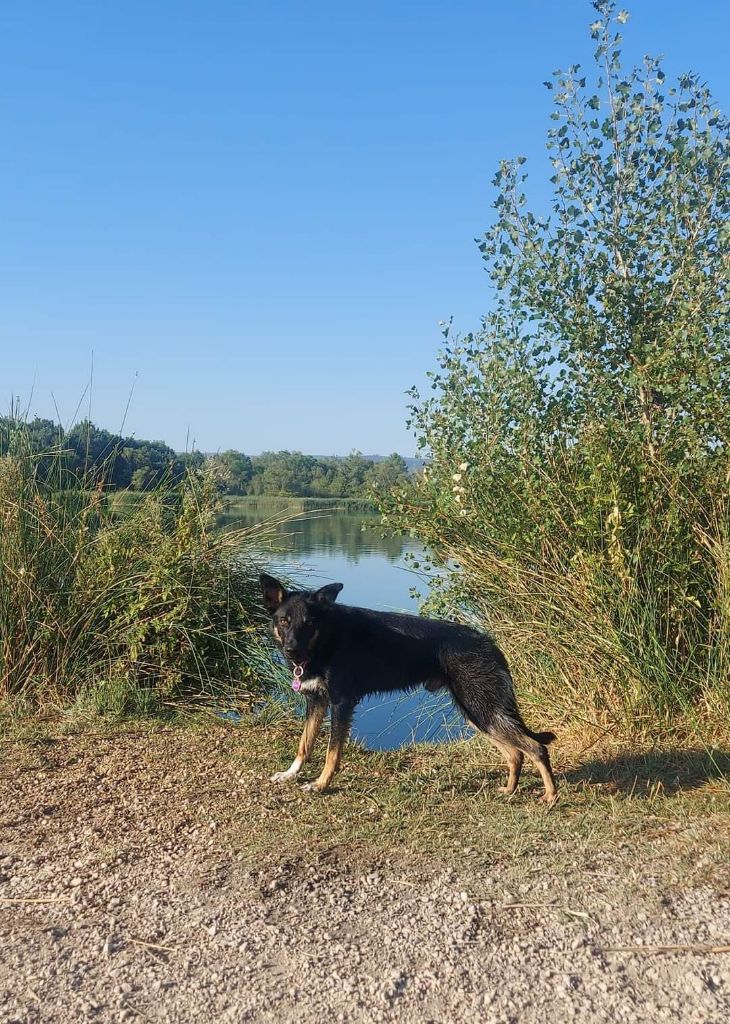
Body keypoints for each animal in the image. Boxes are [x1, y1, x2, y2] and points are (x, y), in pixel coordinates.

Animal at [262, 573, 556, 802]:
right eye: (284, 621)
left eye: (309, 623)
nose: (291, 652)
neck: (325, 638)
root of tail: (489, 643)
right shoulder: (317, 702)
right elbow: (305, 744)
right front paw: (290, 774)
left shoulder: (341, 703)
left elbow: (331, 752)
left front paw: (322, 784)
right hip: (478, 714)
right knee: (515, 753)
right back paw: (509, 790)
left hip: (483, 708)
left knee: (535, 749)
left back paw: (551, 795)